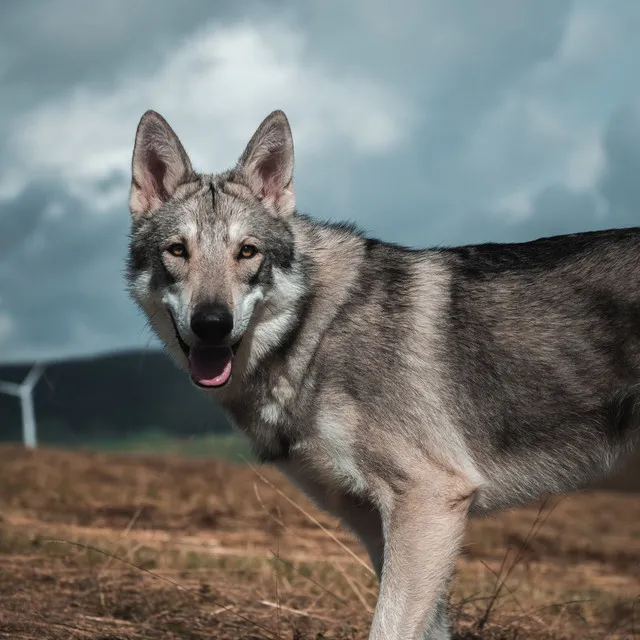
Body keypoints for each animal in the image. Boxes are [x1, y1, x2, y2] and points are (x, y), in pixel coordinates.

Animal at [125, 107, 640, 636]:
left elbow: (388, 627)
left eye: (247, 252)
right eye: (177, 251)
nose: (212, 323)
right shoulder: (379, 524)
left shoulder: (430, 503)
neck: (315, 329)